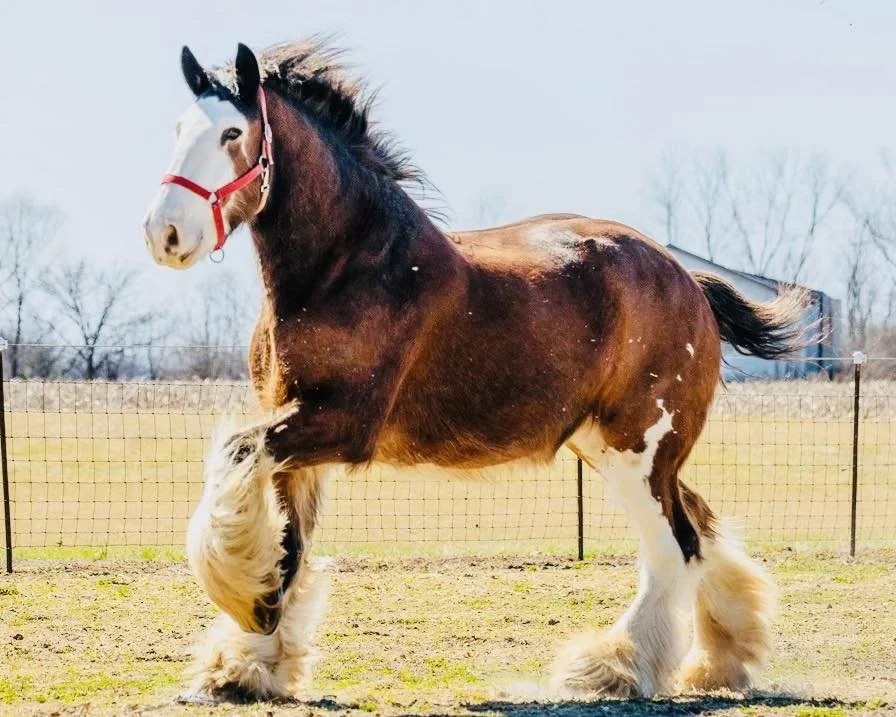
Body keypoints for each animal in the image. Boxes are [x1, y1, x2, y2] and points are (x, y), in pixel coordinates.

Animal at [143, 39, 806, 702]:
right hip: (612, 446)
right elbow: (287, 548)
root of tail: (688, 279)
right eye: (176, 128)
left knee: (675, 547)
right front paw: (250, 662)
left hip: (637, 449)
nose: (163, 234)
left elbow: (232, 454)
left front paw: (245, 607)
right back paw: (720, 660)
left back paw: (615, 667)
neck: (345, 268)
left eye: (232, 131)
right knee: (699, 528)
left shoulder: (338, 423)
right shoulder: (290, 433)